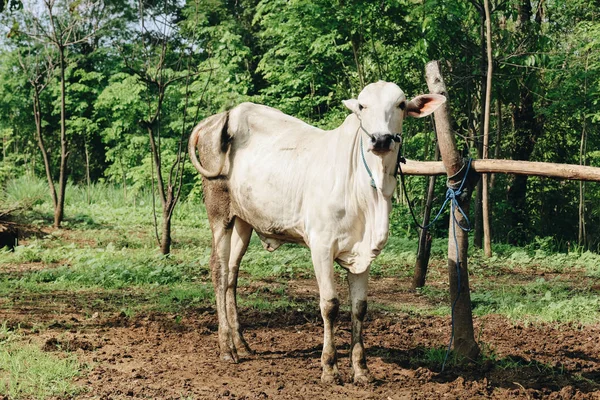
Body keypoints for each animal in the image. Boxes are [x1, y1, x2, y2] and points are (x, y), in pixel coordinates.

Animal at [189, 82, 446, 384]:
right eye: (362, 106)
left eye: (401, 104)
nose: (381, 140)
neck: (369, 191)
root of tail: (221, 117)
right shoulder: (321, 246)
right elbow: (330, 305)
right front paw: (329, 367)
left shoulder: (363, 254)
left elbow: (359, 307)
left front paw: (361, 370)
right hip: (219, 212)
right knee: (218, 270)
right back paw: (226, 347)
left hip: (243, 220)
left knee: (232, 273)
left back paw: (241, 343)